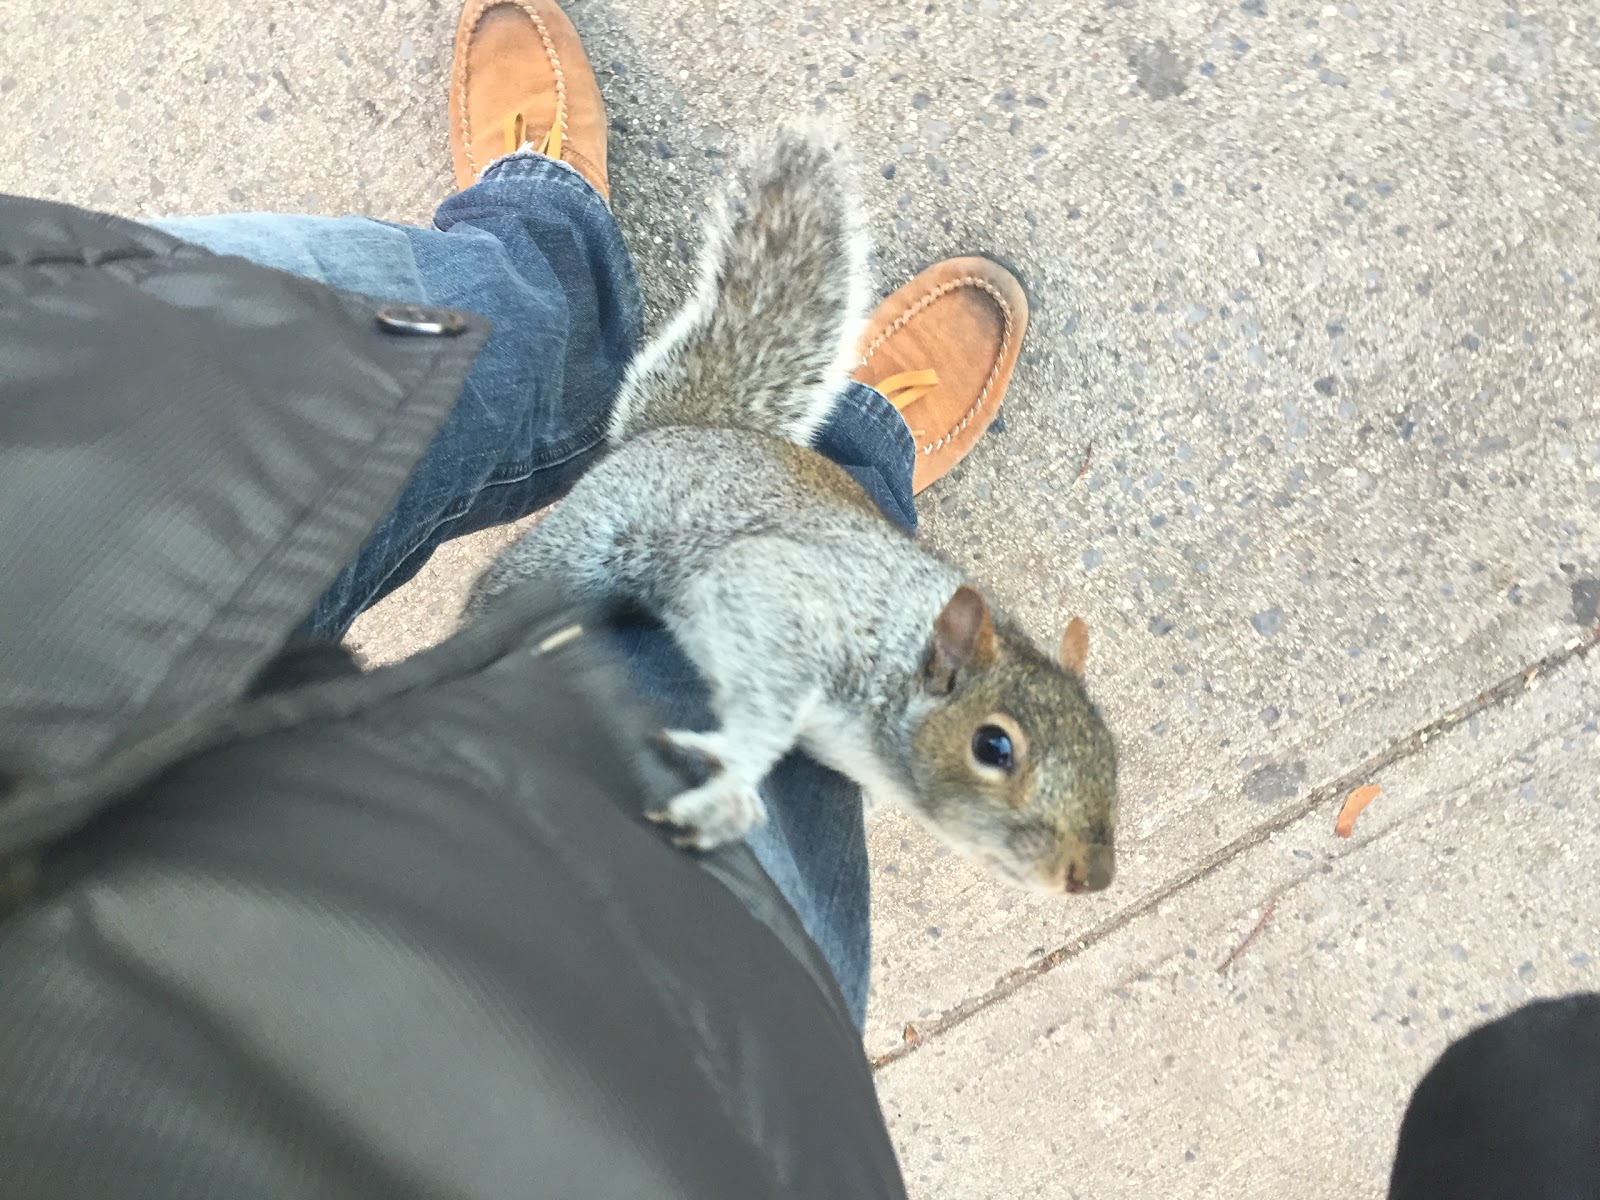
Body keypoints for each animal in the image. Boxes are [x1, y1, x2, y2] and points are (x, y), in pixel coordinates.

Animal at [467, 124, 1120, 896]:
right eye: (993, 746)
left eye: (1111, 756)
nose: (1093, 877)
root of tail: (681, 430)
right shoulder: (788, 594)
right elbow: (768, 691)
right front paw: (734, 775)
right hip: (593, 539)